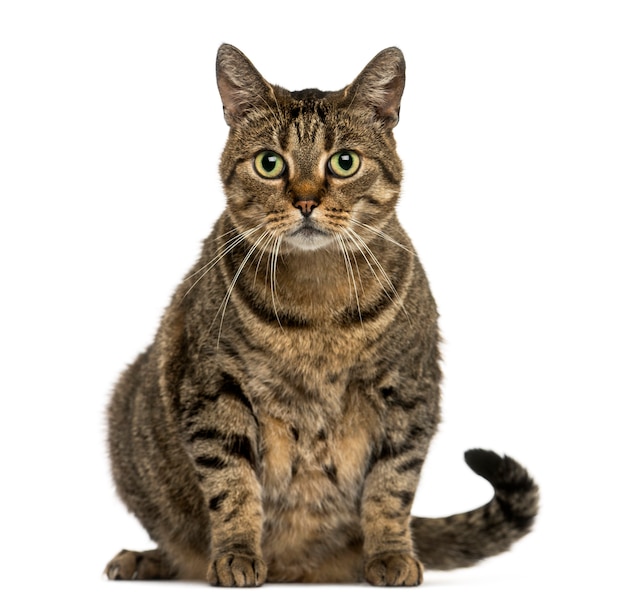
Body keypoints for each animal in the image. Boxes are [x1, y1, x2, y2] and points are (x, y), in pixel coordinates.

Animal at [103, 43, 536, 584]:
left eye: (344, 162)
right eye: (269, 163)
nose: (306, 200)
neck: (318, 307)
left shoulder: (410, 393)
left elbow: (391, 488)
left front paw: (391, 553)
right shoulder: (213, 389)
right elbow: (232, 485)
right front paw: (236, 553)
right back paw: (148, 559)